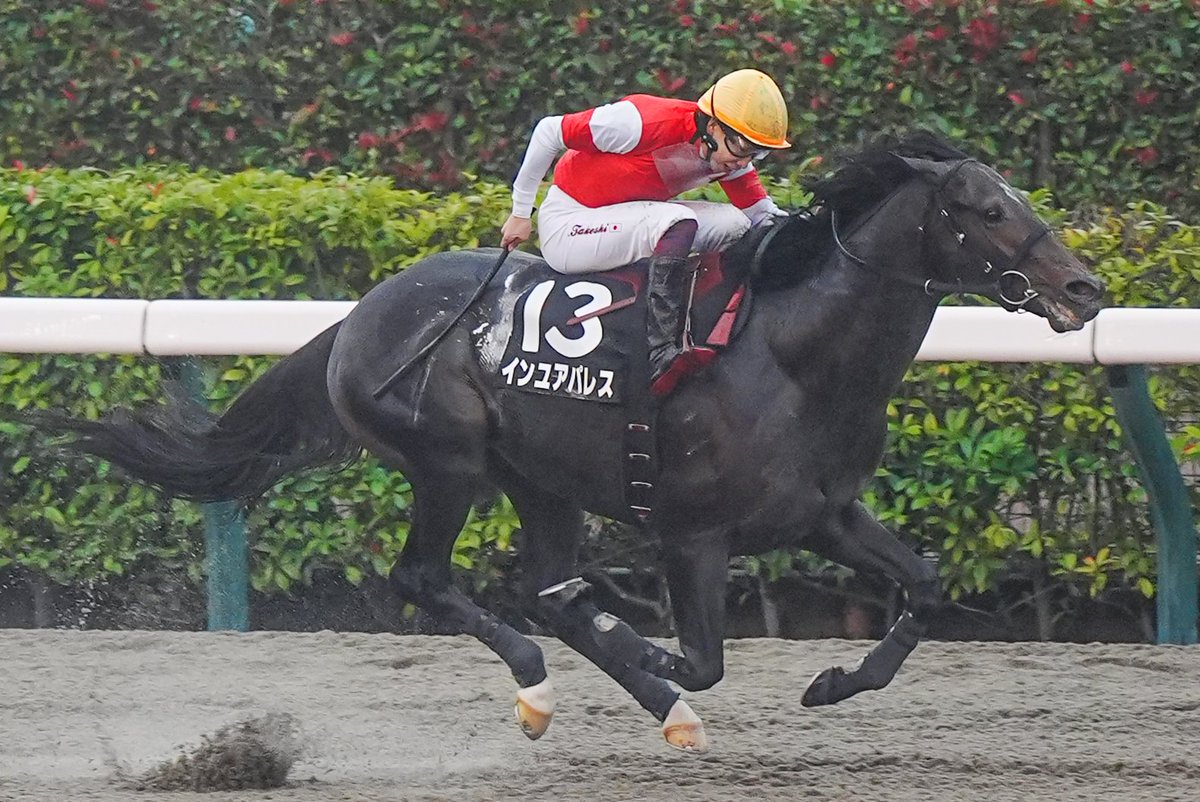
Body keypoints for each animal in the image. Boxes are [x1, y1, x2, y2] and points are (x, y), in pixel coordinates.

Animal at [37, 133, 1104, 753]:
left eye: (1017, 198)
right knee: (439, 580)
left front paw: (836, 680)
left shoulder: (825, 514)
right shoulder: (690, 534)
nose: (1085, 289)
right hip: (449, 462)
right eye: (986, 208)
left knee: (541, 585)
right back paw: (552, 681)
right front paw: (649, 650)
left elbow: (924, 585)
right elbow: (700, 656)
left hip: (536, 479)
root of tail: (356, 318)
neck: (793, 352)